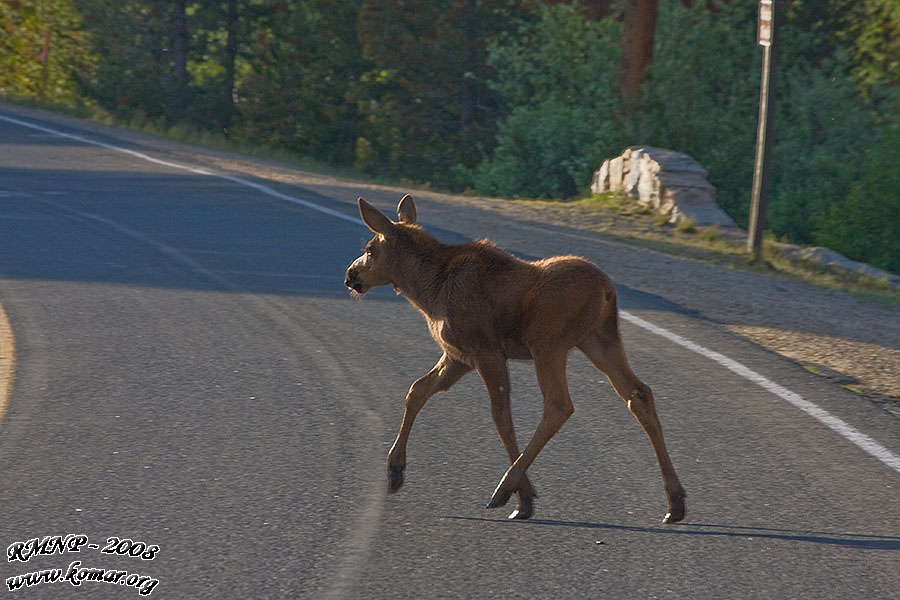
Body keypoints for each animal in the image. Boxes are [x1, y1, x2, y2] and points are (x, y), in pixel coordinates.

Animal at [346, 195, 688, 524]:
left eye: (370, 249)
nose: (350, 275)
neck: (428, 290)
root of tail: (607, 290)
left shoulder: (486, 352)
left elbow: (501, 417)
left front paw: (523, 496)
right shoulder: (458, 357)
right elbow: (417, 390)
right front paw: (395, 471)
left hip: (548, 344)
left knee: (559, 404)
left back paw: (503, 488)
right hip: (599, 340)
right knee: (639, 393)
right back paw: (675, 501)